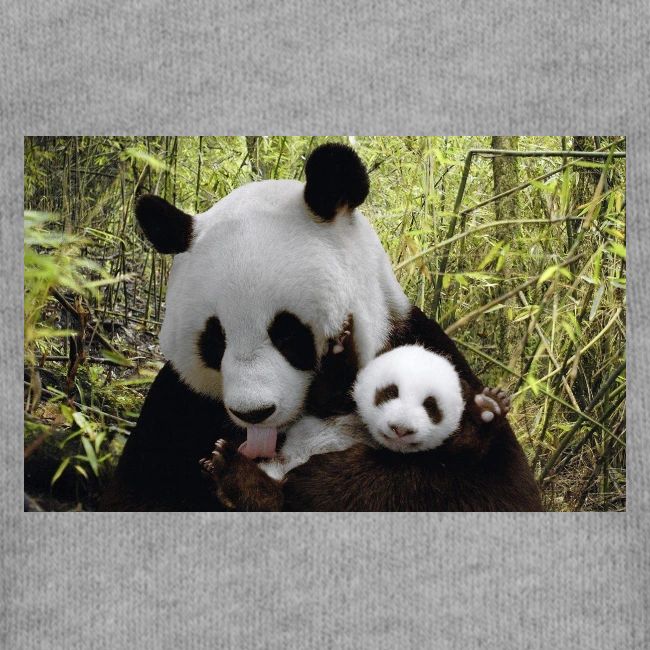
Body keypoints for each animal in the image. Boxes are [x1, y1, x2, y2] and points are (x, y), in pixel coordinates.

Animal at [100, 143, 541, 512]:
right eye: (214, 340)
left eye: (288, 334)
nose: (254, 413)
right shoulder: (178, 405)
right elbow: (137, 492)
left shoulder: (420, 346)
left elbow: (490, 488)